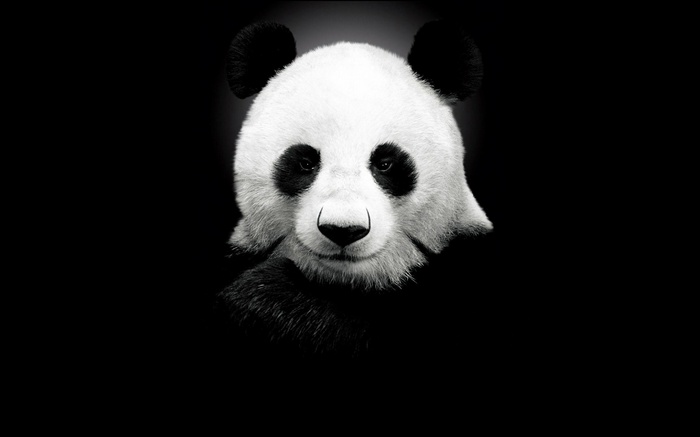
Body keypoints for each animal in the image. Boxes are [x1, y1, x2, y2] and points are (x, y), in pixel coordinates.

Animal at [214, 21, 496, 363]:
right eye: (305, 162)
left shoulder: (467, 272)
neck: (348, 283)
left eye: (385, 163)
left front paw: (266, 297)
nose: (343, 230)